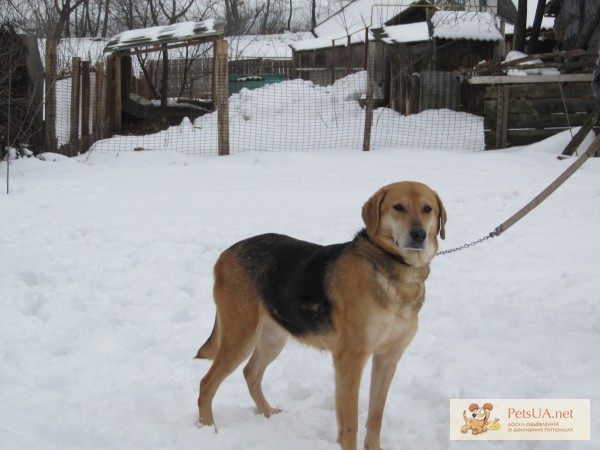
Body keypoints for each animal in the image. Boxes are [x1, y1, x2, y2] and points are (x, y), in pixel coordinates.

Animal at [196, 181, 446, 448]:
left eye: (427, 209)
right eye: (398, 207)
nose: (419, 235)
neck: (395, 269)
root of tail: (225, 254)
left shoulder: (387, 359)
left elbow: (375, 417)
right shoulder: (350, 358)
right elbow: (350, 423)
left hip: (273, 337)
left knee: (250, 373)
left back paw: (267, 412)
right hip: (240, 336)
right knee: (206, 384)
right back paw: (207, 429)